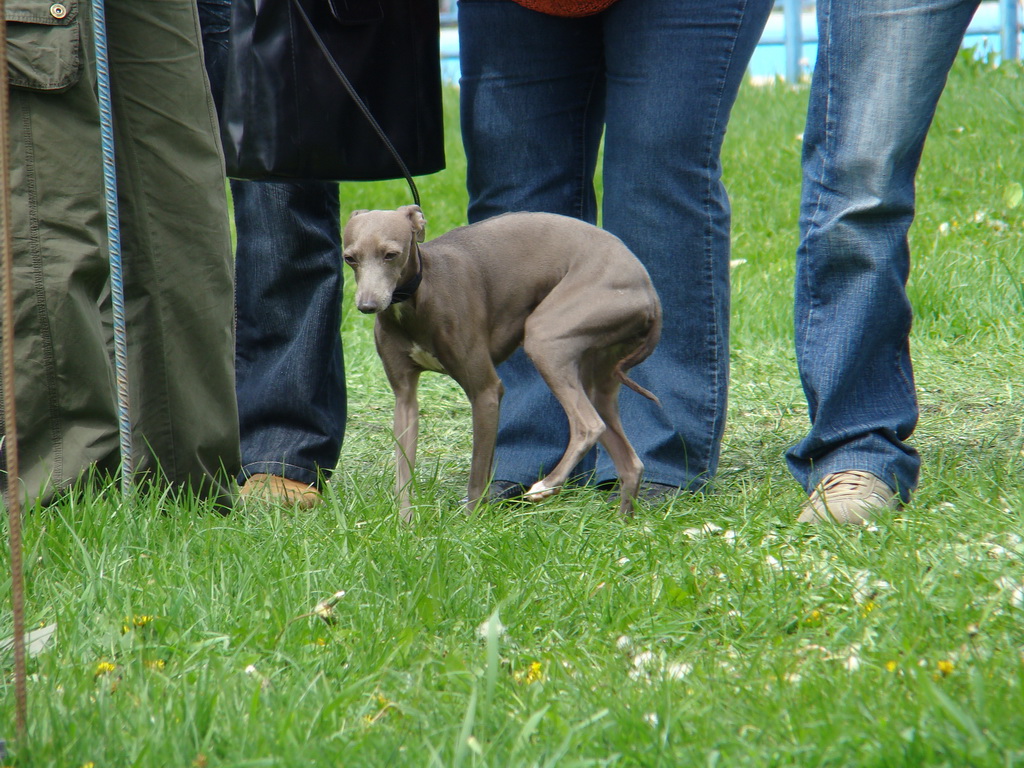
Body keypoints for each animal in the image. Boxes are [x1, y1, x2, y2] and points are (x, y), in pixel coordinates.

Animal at [344, 205, 663, 524]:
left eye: (391, 254)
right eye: (350, 258)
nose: (367, 305)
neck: (423, 293)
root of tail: (648, 289)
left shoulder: (486, 392)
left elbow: (477, 474)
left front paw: (470, 524)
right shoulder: (404, 398)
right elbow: (403, 471)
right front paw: (405, 525)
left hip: (546, 339)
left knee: (589, 425)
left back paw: (547, 485)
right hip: (597, 377)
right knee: (631, 463)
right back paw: (624, 522)